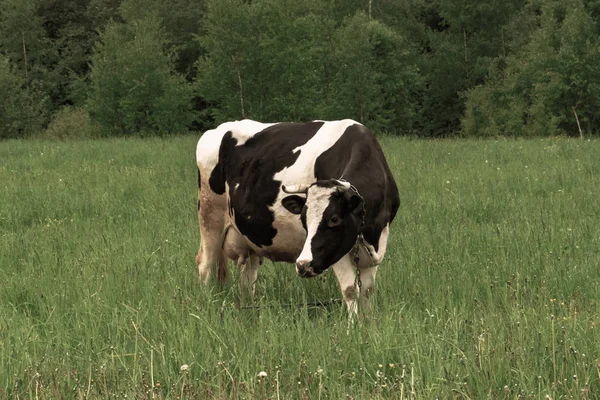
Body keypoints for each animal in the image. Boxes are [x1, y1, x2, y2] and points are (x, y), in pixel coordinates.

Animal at [197, 119, 400, 316]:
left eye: (334, 219)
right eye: (303, 221)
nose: (303, 265)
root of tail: (216, 130)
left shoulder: (377, 243)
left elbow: (367, 290)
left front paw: (368, 323)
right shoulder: (336, 251)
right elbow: (350, 290)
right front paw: (354, 326)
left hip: (249, 239)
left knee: (248, 278)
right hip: (210, 217)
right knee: (205, 266)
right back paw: (208, 308)